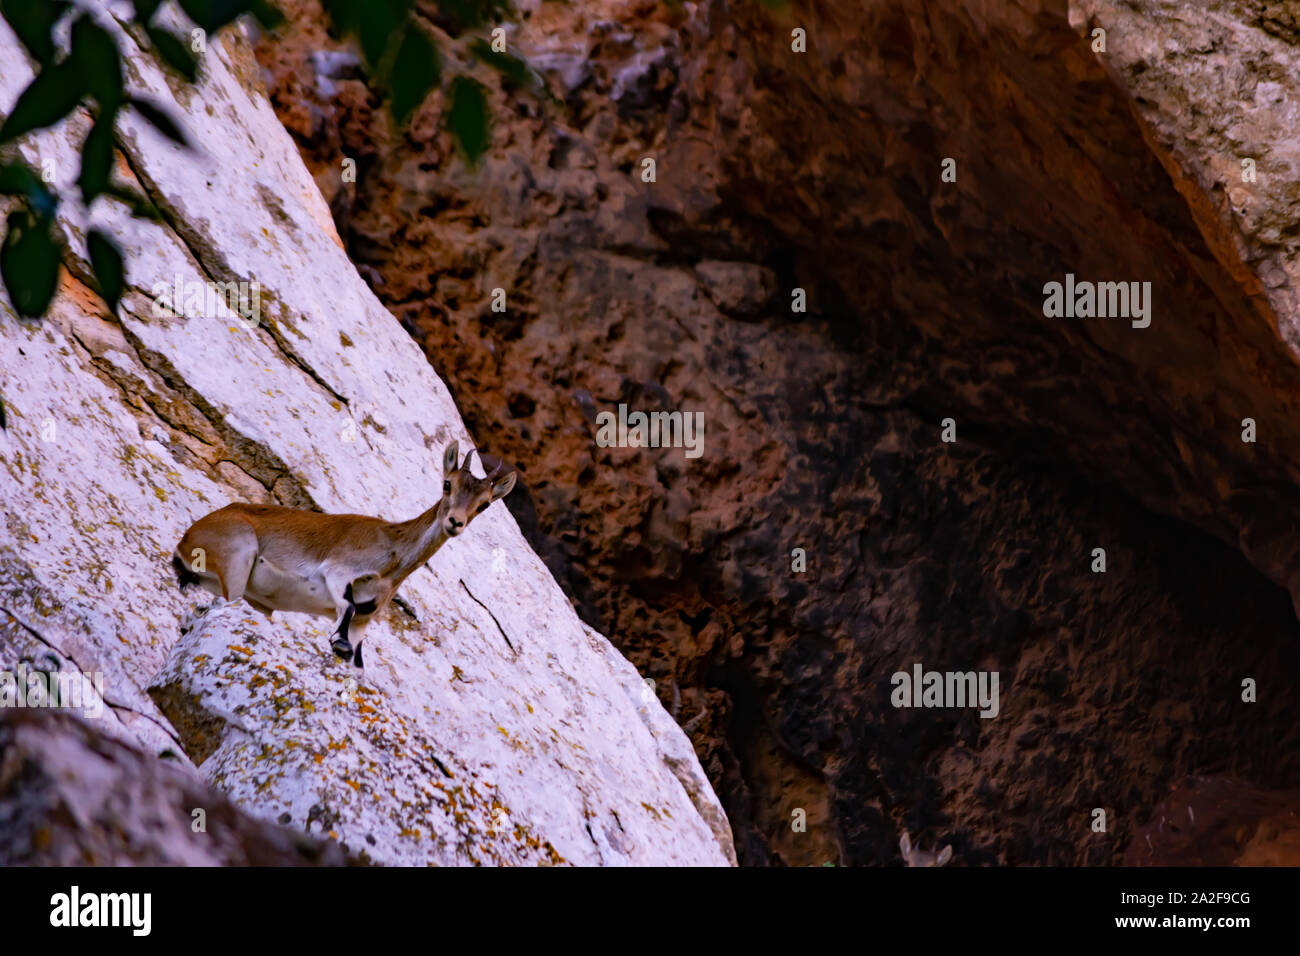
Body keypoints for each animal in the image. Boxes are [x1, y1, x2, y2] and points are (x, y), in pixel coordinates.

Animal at [170, 442, 516, 668]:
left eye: (484, 504)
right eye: (447, 484)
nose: (455, 522)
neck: (392, 558)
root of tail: (188, 539)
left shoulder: (365, 620)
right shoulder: (338, 572)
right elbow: (346, 606)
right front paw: (338, 643)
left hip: (258, 602)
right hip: (238, 558)